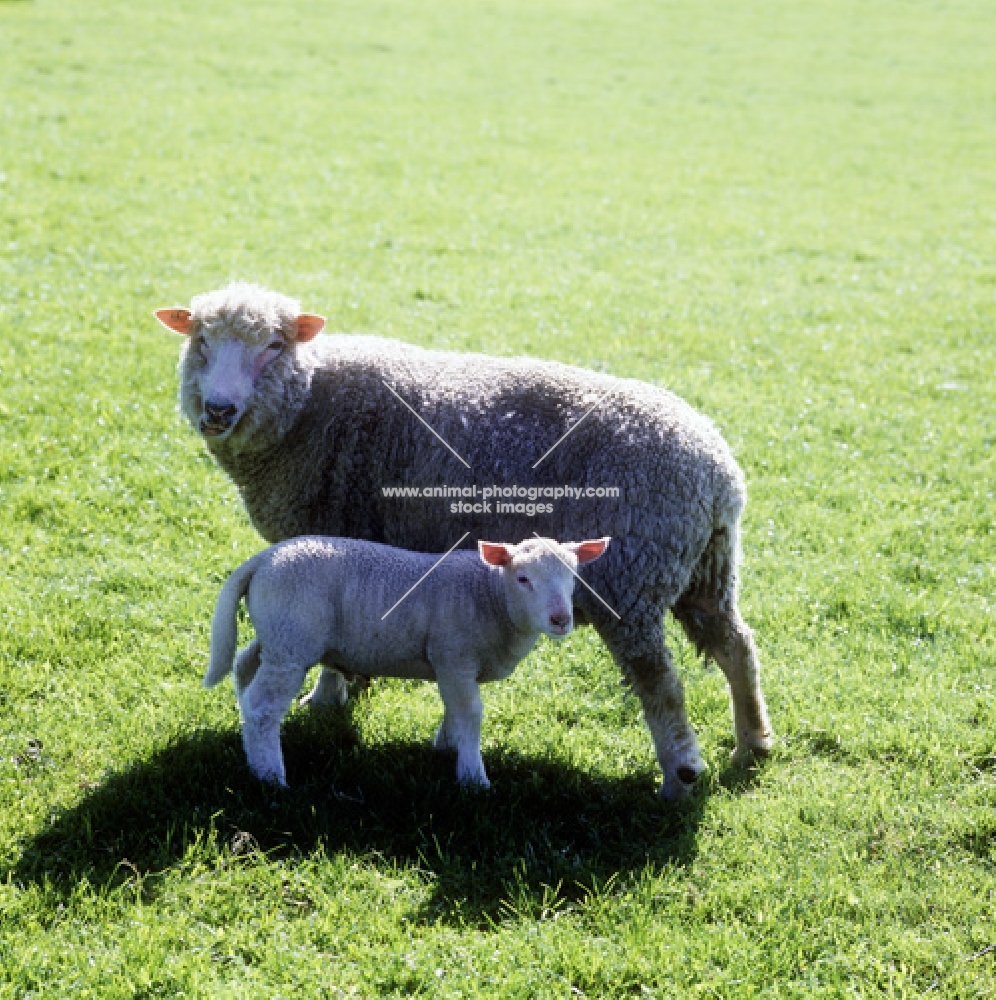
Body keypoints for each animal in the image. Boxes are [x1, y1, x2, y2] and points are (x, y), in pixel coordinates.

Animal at [202, 536, 608, 784]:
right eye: (523, 579)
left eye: (573, 577)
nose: (561, 619)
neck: (490, 594)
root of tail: (263, 559)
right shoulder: (454, 654)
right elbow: (470, 713)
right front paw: (473, 777)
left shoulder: (451, 664)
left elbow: (455, 709)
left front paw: (447, 748)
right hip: (291, 640)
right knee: (262, 706)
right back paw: (270, 775)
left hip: (276, 634)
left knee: (244, 667)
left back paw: (248, 745)